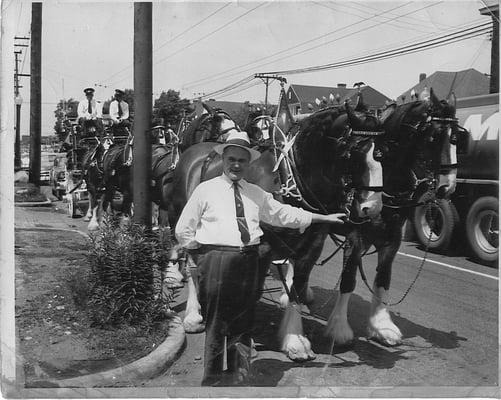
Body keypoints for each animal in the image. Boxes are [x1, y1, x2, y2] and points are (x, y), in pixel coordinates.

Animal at [318, 87, 466, 346]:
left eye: (457, 137)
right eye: (434, 137)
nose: (448, 187)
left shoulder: (392, 239)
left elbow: (383, 279)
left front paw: (381, 326)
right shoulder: (356, 238)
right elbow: (349, 279)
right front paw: (339, 328)